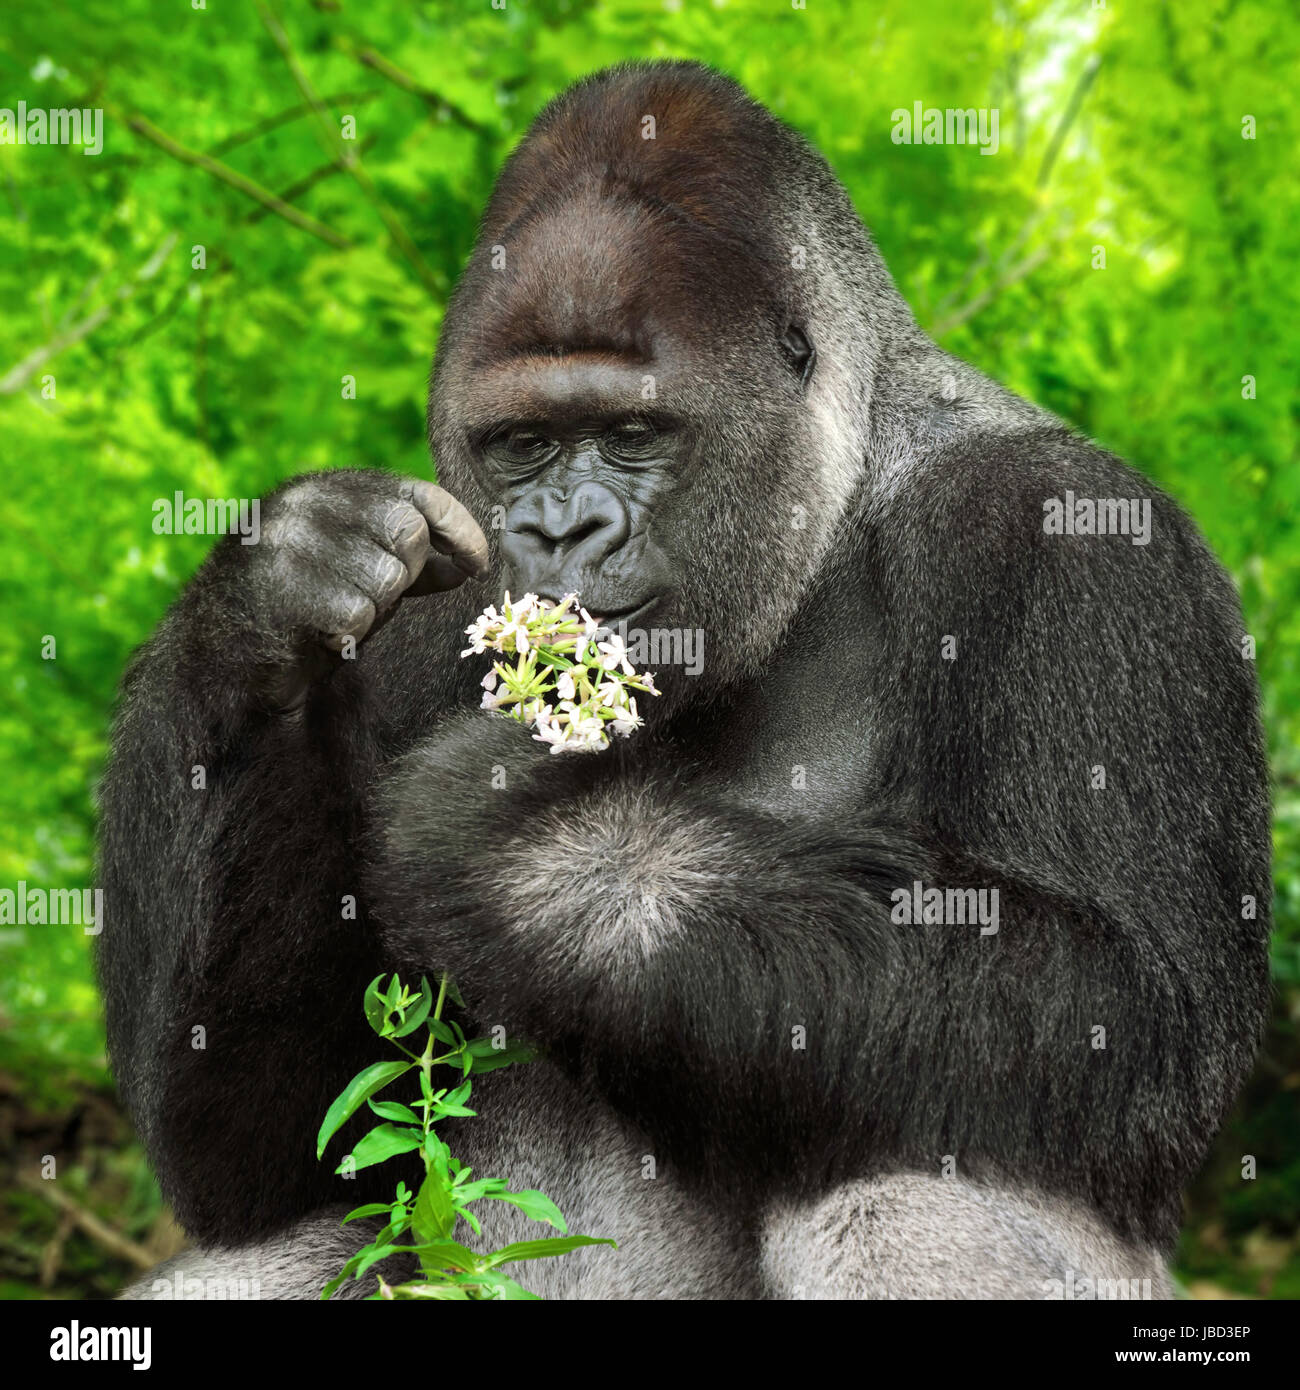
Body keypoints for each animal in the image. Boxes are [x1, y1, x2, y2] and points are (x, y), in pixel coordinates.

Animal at [101, 62, 1273, 1301]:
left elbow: (1122, 1009)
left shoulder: (1077, 540)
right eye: (521, 443)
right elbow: (263, 1155)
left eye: (631, 432)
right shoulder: (428, 603)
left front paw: (520, 843)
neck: (833, 508)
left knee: (917, 1168)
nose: (558, 530)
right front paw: (275, 597)